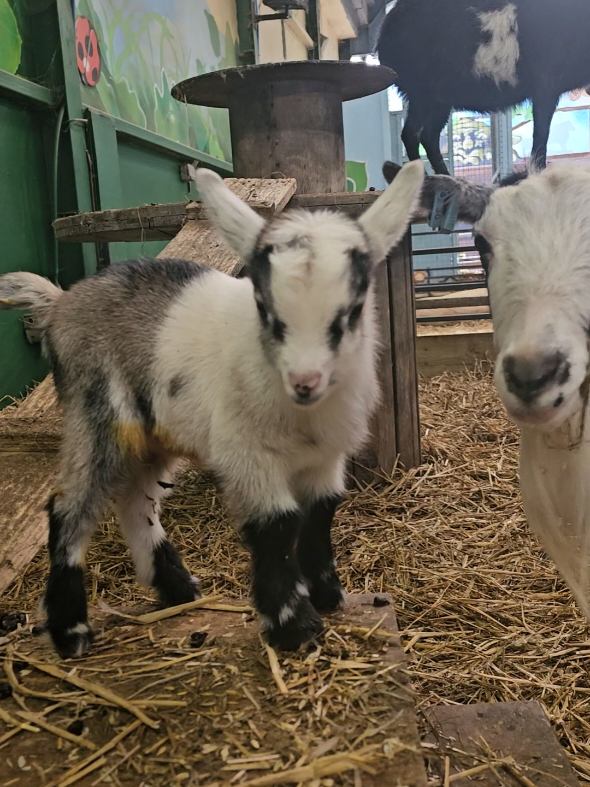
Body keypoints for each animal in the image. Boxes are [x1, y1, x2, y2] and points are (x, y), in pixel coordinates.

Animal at [0, 162, 424, 659]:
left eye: (352, 310)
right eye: (264, 307)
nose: (305, 382)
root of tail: (61, 302)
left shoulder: (325, 457)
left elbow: (320, 514)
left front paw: (328, 595)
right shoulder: (246, 454)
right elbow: (278, 525)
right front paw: (293, 626)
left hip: (155, 431)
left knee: (135, 499)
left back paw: (177, 588)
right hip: (97, 410)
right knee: (70, 505)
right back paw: (71, 632)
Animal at [377, 0, 590, 175]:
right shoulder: (545, 89)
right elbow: (540, 141)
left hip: (438, 100)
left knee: (425, 136)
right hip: (422, 94)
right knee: (412, 134)